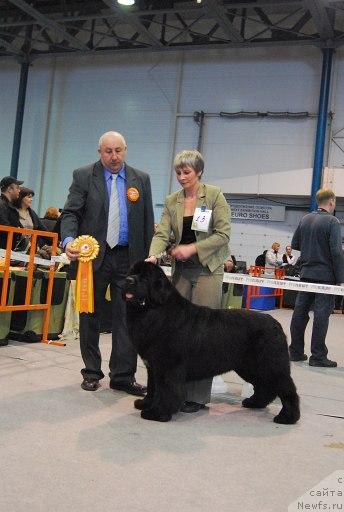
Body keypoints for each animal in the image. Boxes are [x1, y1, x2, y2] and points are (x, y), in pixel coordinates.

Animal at [123, 262, 298, 426]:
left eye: (145, 277)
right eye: (132, 272)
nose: (128, 280)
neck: (155, 311)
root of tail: (276, 324)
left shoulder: (168, 367)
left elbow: (166, 390)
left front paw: (158, 413)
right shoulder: (153, 366)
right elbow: (153, 388)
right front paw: (145, 404)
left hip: (270, 365)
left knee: (287, 388)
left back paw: (288, 417)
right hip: (250, 367)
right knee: (265, 386)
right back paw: (254, 403)